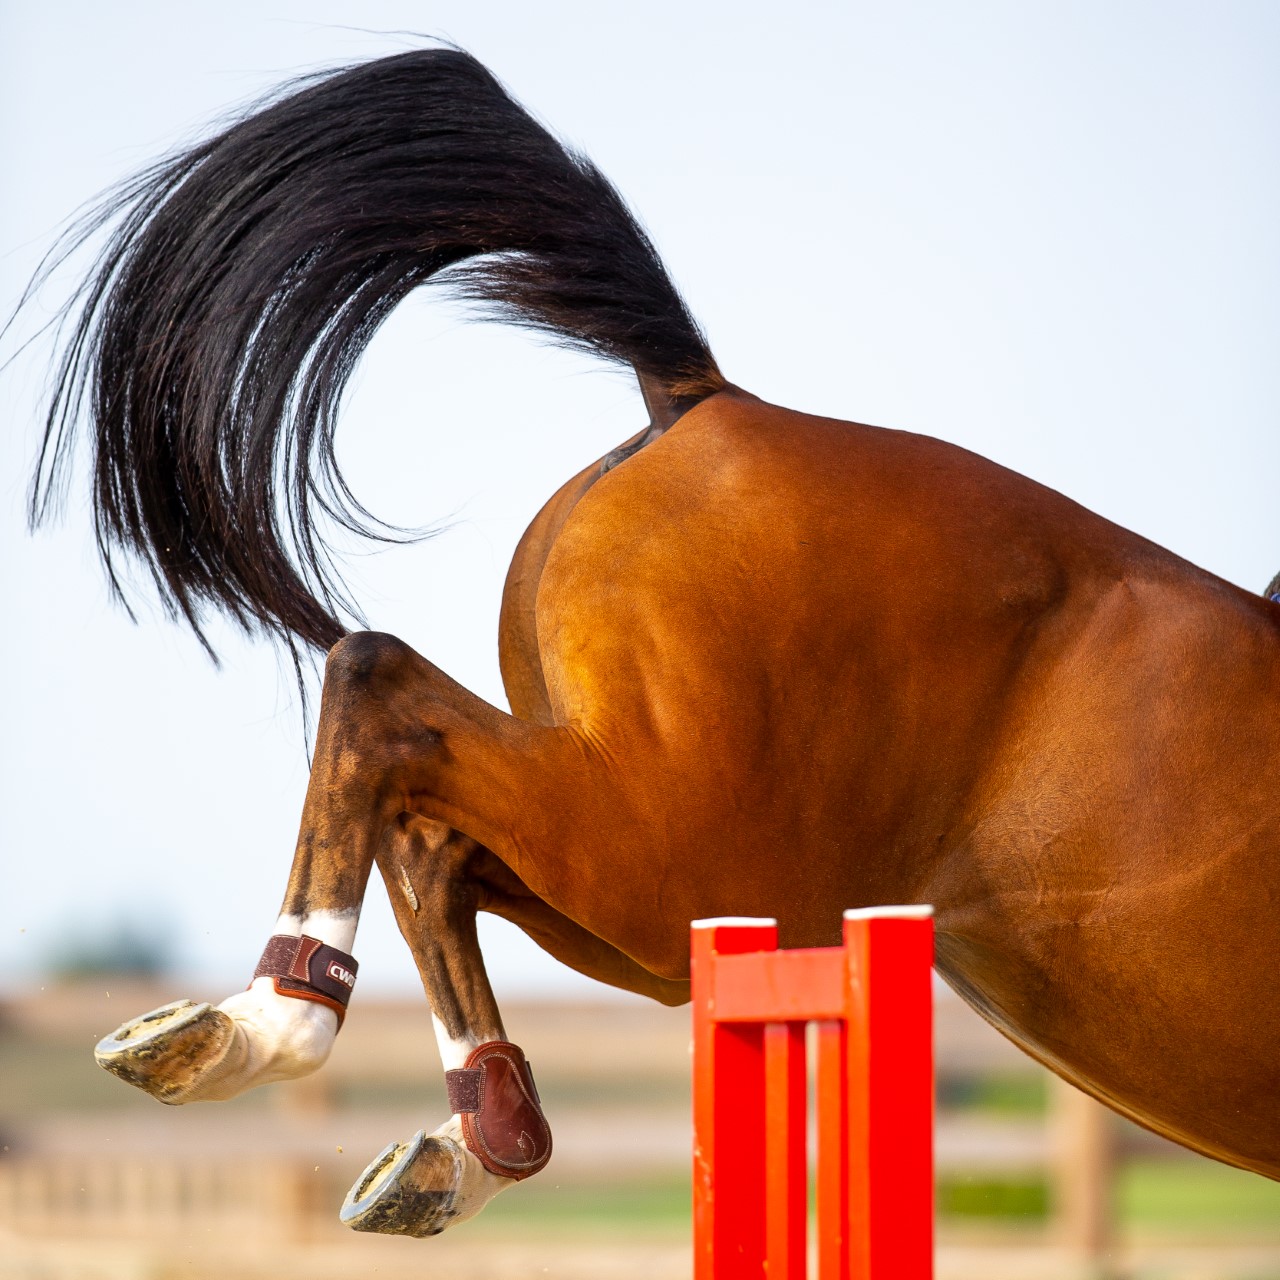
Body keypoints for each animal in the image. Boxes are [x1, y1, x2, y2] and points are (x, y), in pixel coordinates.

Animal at [30, 47, 1280, 1228]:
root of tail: (709, 399)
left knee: (435, 840)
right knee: (378, 686)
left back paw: (466, 1131)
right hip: (678, 849)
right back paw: (267, 1019)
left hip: (654, 912)